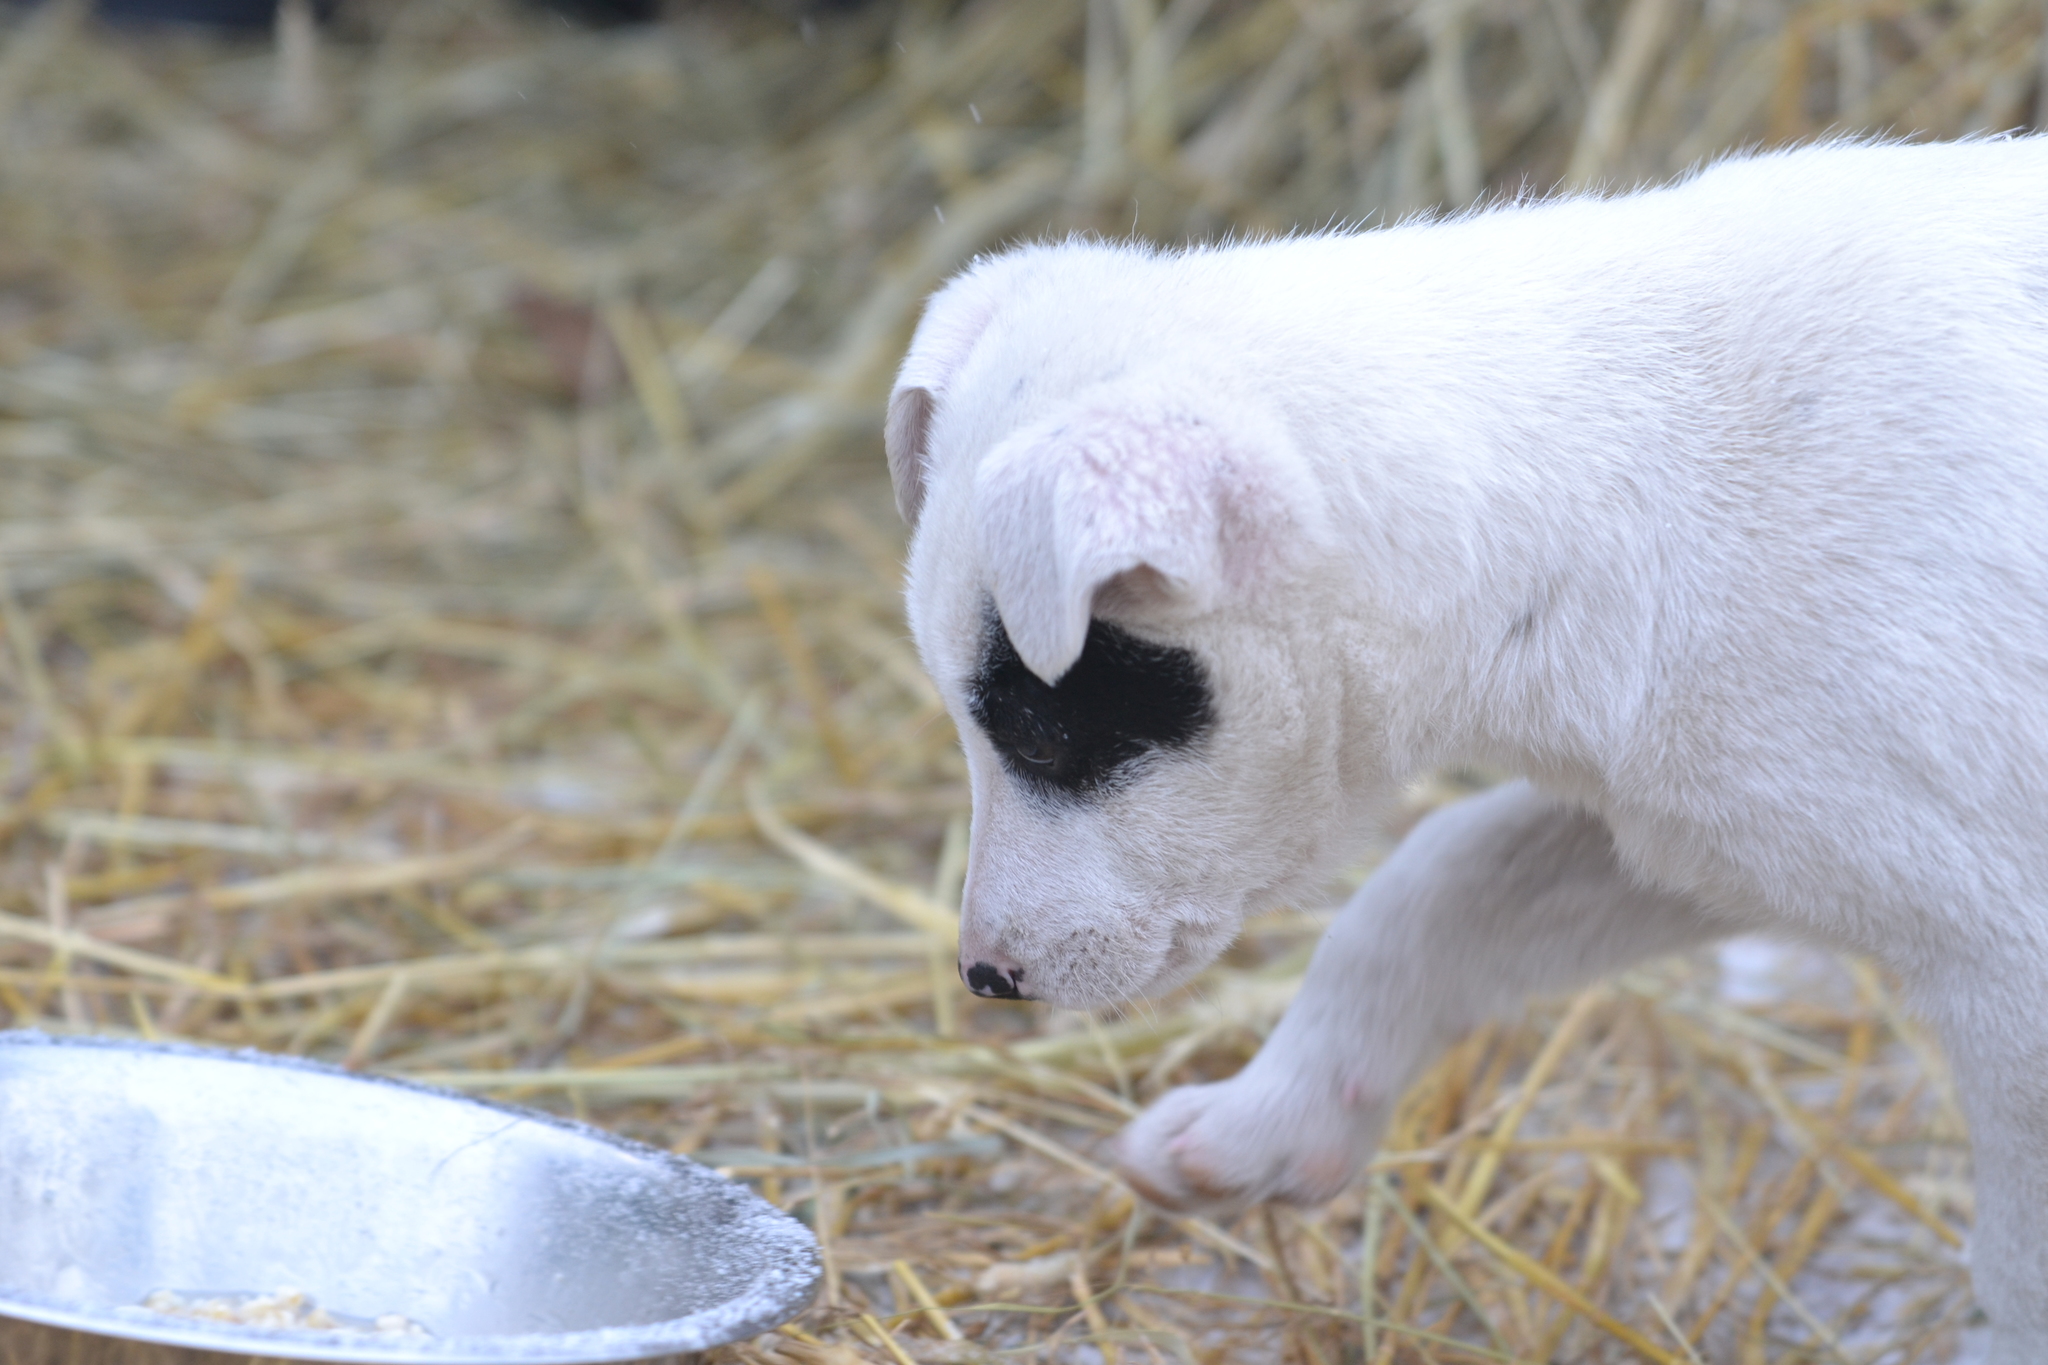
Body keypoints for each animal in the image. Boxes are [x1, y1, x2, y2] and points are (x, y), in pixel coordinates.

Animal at [880, 139, 2048, 1358]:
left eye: (1039, 731)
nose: (984, 979)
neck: (1643, 470)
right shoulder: (1706, 830)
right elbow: (1436, 888)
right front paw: (1261, 1128)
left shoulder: (2010, 964)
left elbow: (2019, 1265)